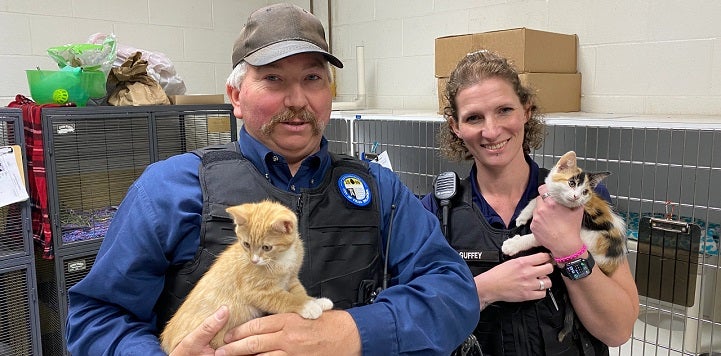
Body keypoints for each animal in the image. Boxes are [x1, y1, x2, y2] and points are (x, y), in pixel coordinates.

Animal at [159, 199, 334, 352]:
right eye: (246, 244)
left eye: (266, 247)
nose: (254, 260)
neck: (281, 258)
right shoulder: (257, 291)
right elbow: (286, 298)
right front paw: (308, 306)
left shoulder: (291, 279)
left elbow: (299, 292)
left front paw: (316, 301)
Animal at [500, 150, 624, 342]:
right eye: (571, 183)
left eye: (585, 191)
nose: (576, 196)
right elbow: (536, 199)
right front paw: (522, 216)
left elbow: (536, 236)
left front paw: (513, 244)